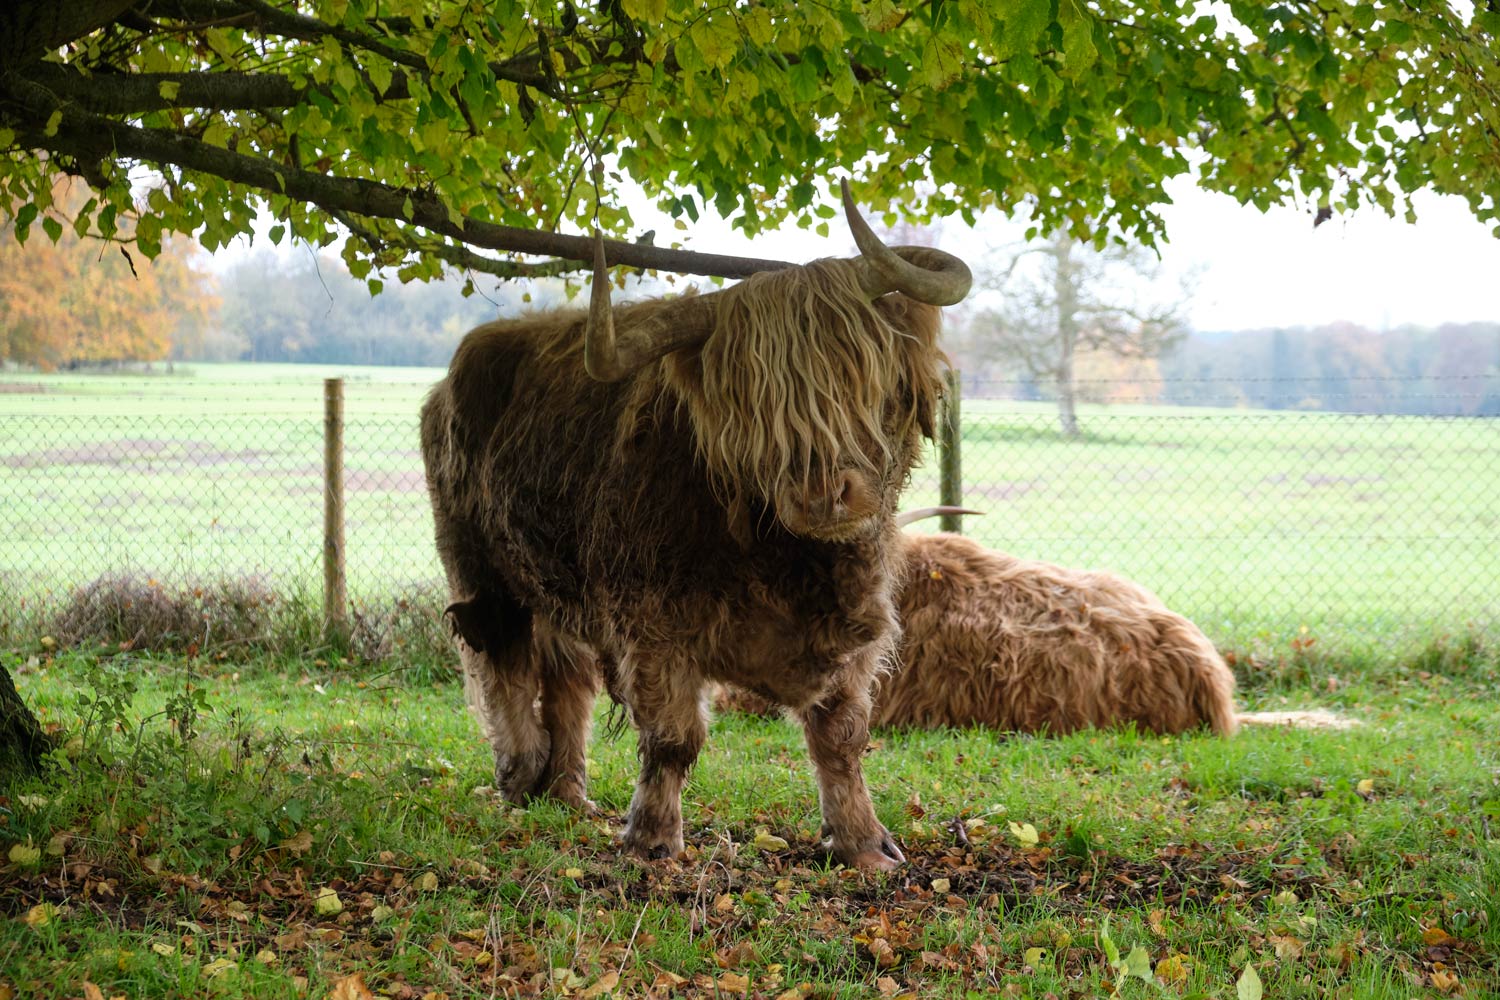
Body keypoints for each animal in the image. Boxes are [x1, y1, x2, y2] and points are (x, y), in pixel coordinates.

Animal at [420, 183, 972, 870]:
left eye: (862, 375)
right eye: (750, 402)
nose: (822, 494)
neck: (782, 560)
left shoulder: (858, 628)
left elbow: (841, 737)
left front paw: (864, 843)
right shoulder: (654, 624)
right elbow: (673, 738)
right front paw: (652, 839)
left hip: (556, 584)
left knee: (568, 679)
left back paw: (568, 793)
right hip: (479, 570)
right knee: (504, 664)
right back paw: (520, 776)